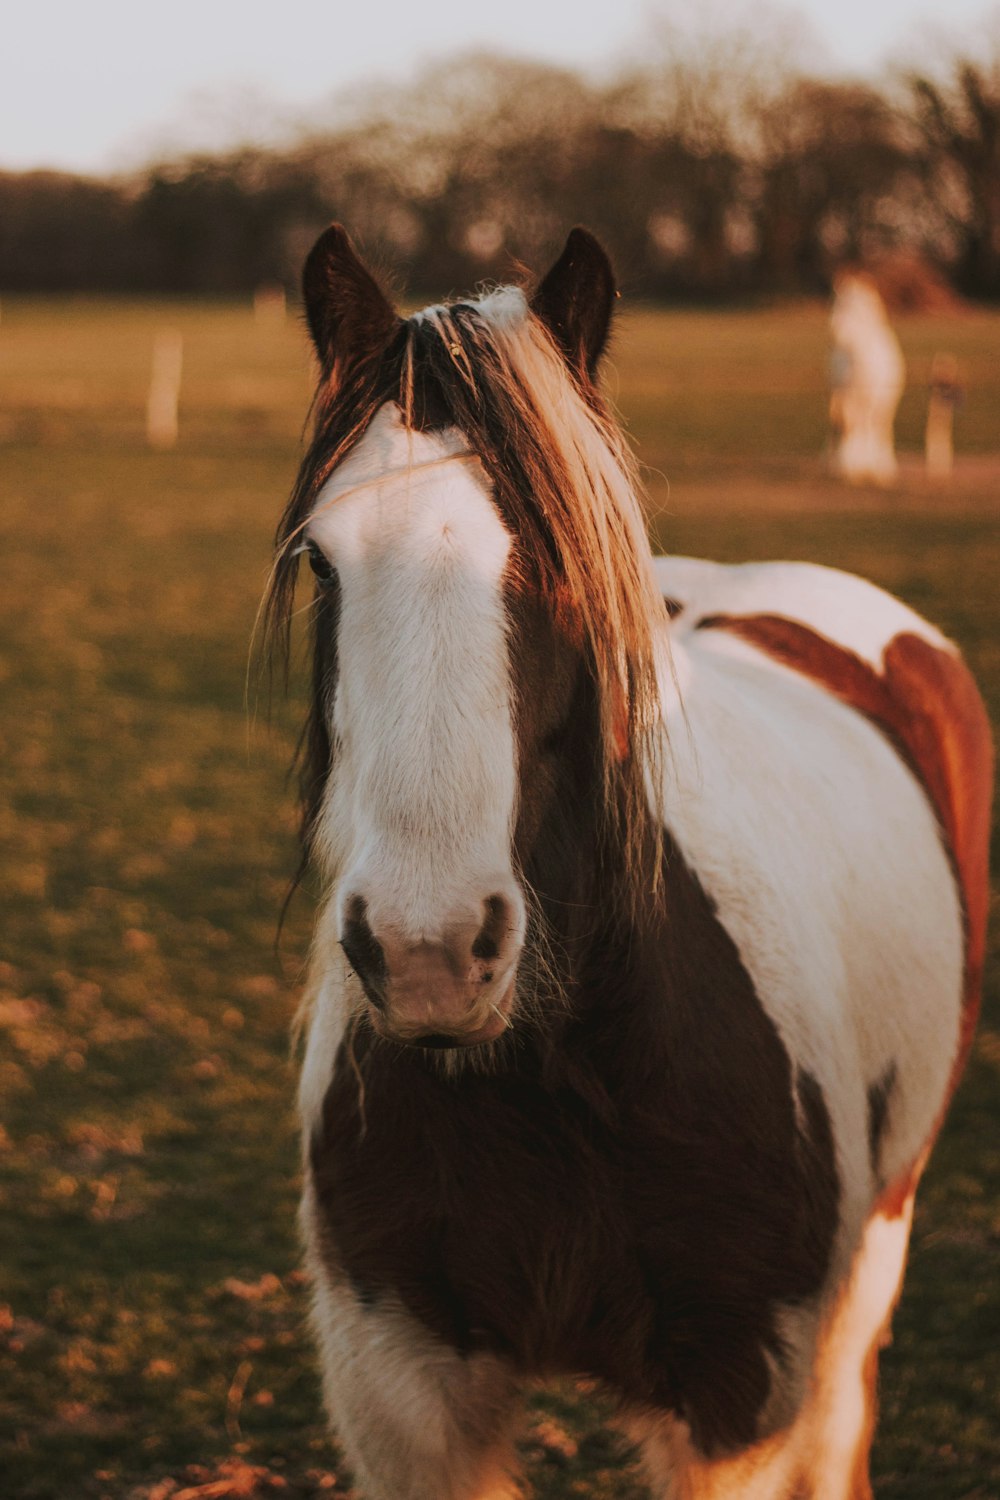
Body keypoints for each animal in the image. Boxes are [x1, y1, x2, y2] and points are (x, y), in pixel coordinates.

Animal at [827, 267, 905, 483]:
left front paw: (874, 470)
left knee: (878, 426)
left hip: (883, 401)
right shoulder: (846, 396)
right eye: (837, 302)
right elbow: (849, 425)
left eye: (858, 307)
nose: (834, 331)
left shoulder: (874, 397)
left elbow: (871, 426)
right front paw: (849, 469)